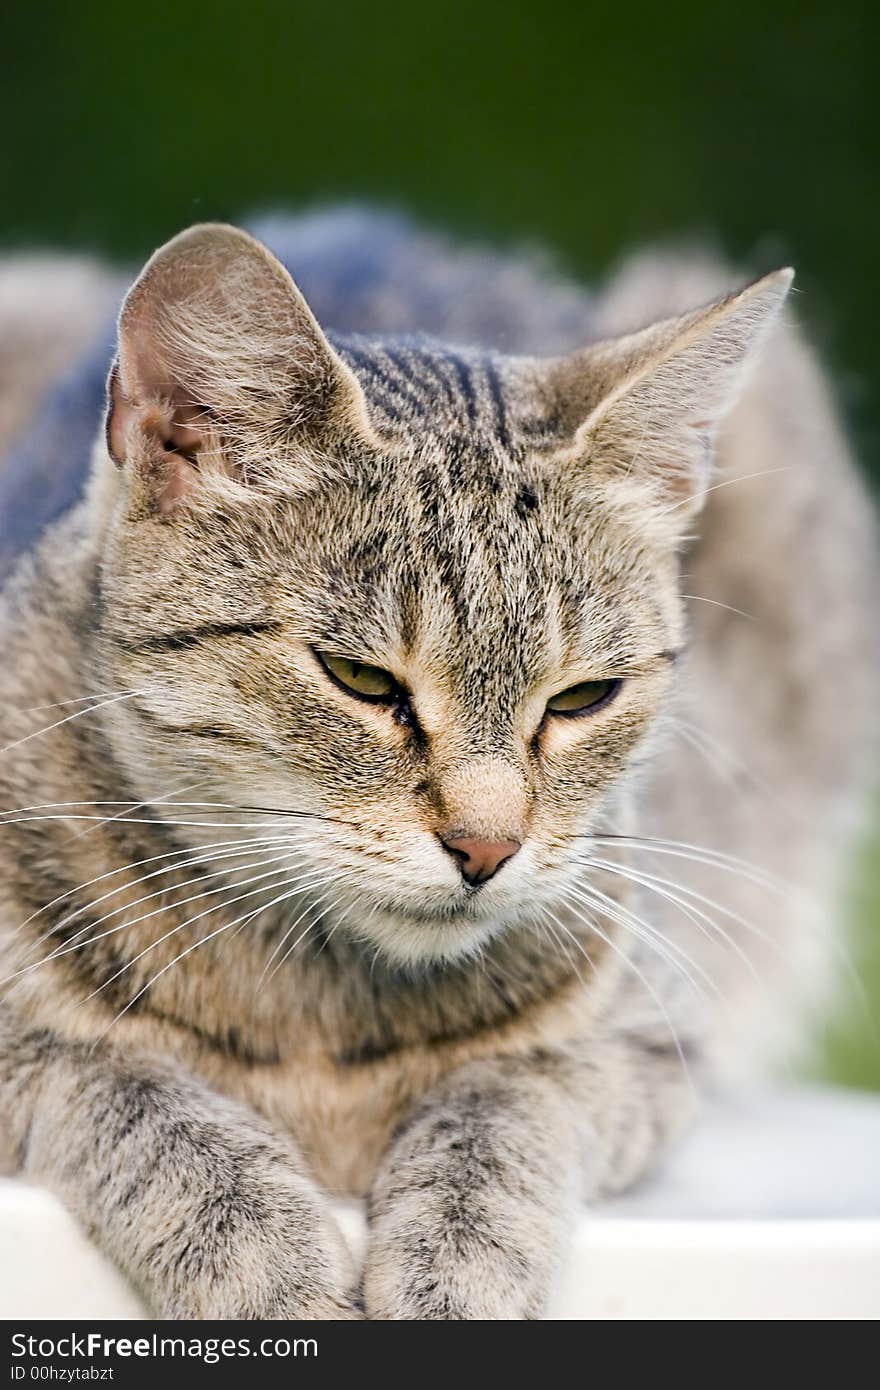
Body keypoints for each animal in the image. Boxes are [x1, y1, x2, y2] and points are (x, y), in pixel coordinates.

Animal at [0, 211, 873, 1317]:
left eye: (582, 697)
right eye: (361, 679)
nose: (487, 847)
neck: (317, 1017)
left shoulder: (640, 1046)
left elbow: (499, 1101)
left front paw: (457, 1257)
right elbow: (133, 1089)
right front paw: (259, 1247)